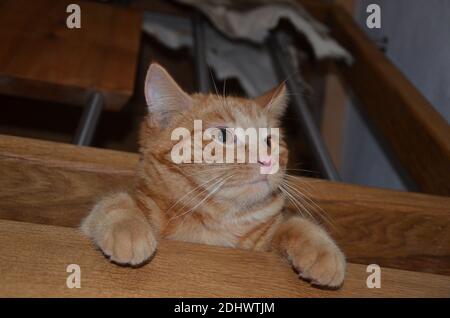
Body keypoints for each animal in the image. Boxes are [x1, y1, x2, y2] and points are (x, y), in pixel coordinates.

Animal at [81, 62, 344, 288]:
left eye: (270, 141)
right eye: (223, 135)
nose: (267, 160)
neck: (218, 224)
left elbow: (293, 224)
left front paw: (323, 250)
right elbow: (115, 201)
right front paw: (127, 226)